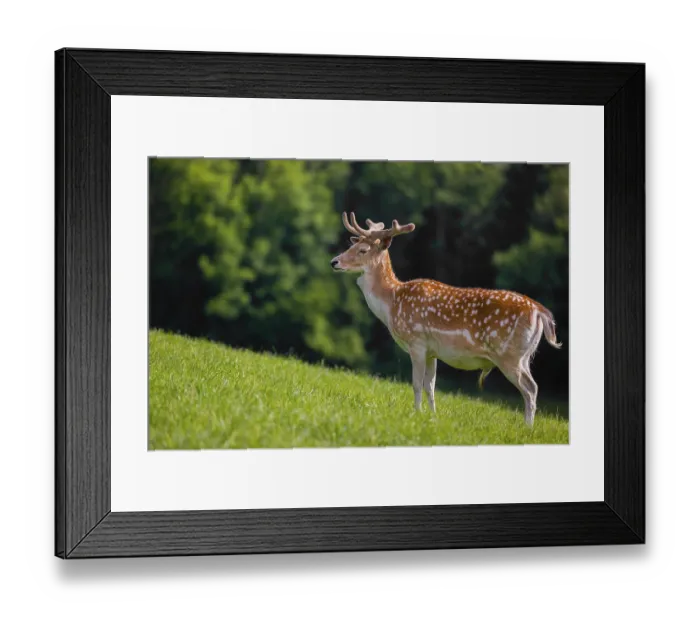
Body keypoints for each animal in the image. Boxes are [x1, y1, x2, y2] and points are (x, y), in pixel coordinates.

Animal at [331, 212, 562, 426]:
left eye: (363, 250)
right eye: (353, 244)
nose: (334, 262)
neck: (392, 302)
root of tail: (540, 311)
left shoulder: (416, 341)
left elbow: (416, 383)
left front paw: (416, 413)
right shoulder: (432, 351)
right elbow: (431, 386)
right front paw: (433, 416)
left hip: (509, 354)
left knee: (530, 389)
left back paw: (528, 427)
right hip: (524, 355)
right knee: (533, 386)